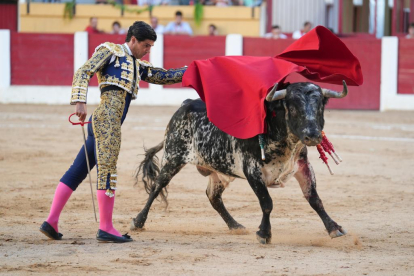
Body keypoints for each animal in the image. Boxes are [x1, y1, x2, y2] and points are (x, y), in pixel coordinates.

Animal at [132, 81, 350, 245]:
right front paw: (264, 234)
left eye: (319, 106)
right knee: (157, 186)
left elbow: (314, 199)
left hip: (219, 170)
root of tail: (185, 104)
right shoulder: (252, 170)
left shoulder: (302, 166)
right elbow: (267, 203)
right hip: (173, 157)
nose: (312, 136)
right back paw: (138, 221)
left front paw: (334, 228)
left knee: (213, 197)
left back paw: (235, 226)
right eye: (293, 108)